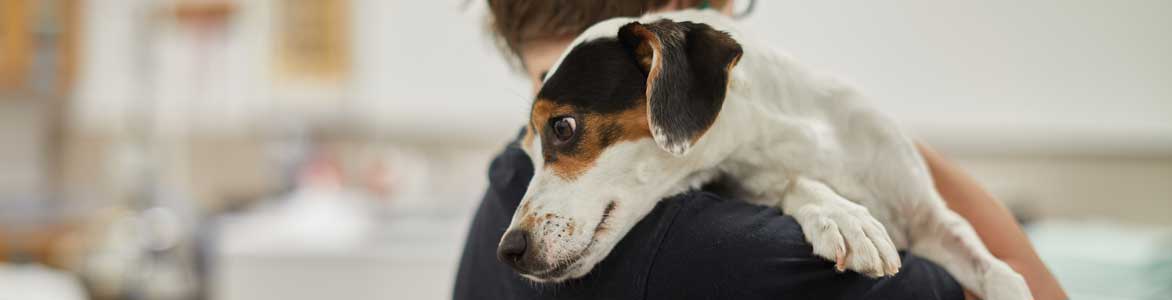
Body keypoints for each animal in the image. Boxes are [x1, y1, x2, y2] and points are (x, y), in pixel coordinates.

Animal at [499, 9, 1031, 300]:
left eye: (562, 127)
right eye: (528, 152)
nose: (509, 251)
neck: (778, 132)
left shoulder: (932, 221)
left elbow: (1001, 273)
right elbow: (799, 182)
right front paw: (844, 216)